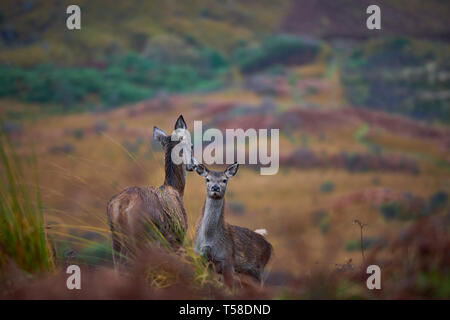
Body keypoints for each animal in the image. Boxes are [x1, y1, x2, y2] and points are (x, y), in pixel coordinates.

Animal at [107, 115, 197, 270]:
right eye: (191, 145)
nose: (195, 165)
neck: (177, 190)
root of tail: (121, 207)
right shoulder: (177, 240)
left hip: (116, 240)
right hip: (142, 239)